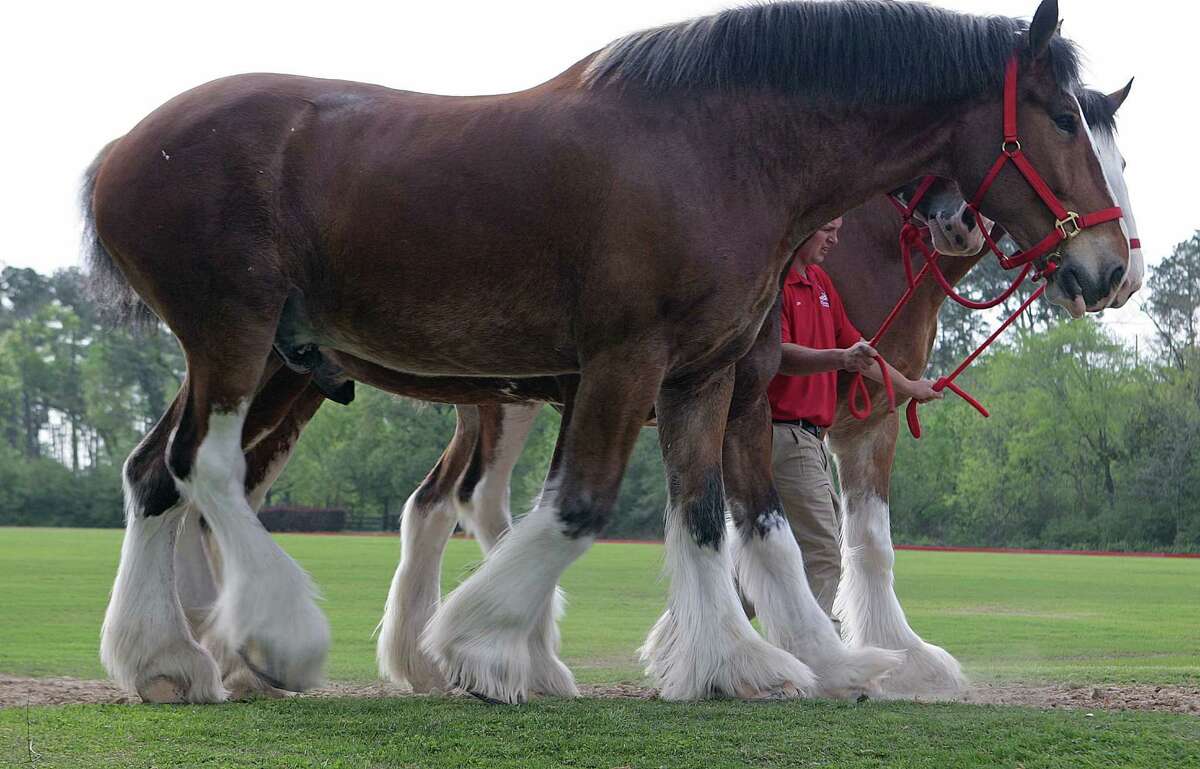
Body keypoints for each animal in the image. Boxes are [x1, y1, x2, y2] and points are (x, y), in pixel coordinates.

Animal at [88, 0, 1128, 705]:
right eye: (1064, 118)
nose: (1110, 266)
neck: (717, 148)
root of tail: (121, 151)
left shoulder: (705, 376)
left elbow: (721, 520)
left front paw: (751, 661)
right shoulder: (629, 364)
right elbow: (584, 505)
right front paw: (477, 642)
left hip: (258, 354)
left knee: (156, 473)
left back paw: (168, 658)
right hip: (239, 334)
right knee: (211, 468)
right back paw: (275, 636)